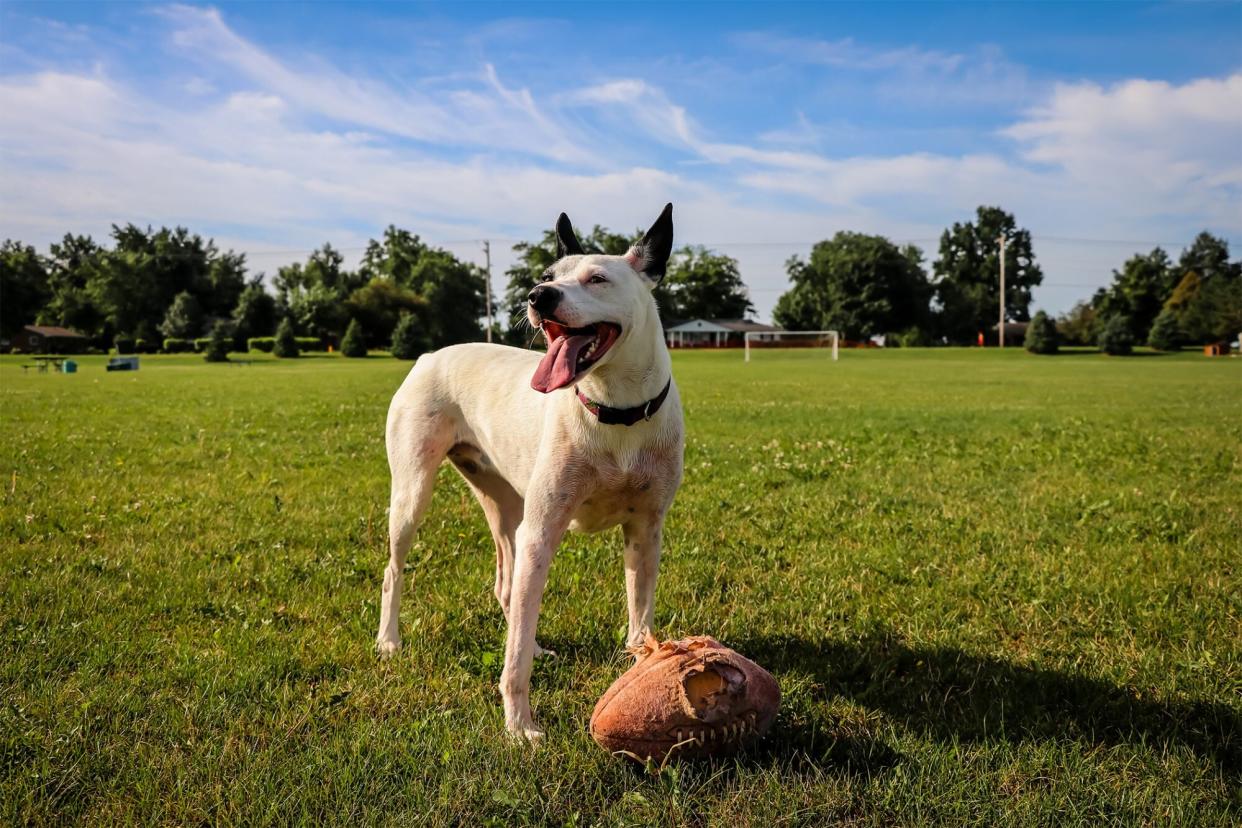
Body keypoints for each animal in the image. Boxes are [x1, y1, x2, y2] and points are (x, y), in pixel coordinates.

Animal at [377, 203, 690, 739]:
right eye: (547, 276)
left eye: (597, 278)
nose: (538, 296)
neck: (614, 413)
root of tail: (430, 355)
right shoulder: (543, 531)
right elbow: (515, 655)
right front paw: (519, 723)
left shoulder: (646, 532)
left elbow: (640, 617)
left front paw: (643, 671)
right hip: (414, 494)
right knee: (395, 570)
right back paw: (390, 640)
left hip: (508, 506)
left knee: (509, 585)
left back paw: (539, 645)